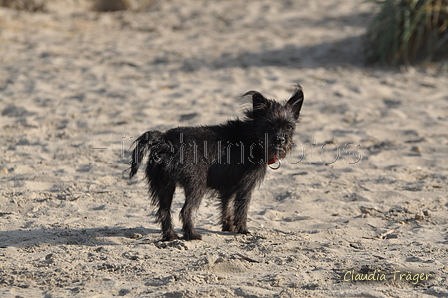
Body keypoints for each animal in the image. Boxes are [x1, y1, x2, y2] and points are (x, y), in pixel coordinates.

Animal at [130, 85, 304, 241]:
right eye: (269, 125)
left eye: (289, 126)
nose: (281, 139)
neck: (252, 136)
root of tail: (166, 141)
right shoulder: (245, 187)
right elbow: (241, 209)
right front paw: (242, 230)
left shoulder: (227, 189)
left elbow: (226, 207)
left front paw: (228, 227)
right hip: (196, 184)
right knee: (186, 211)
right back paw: (192, 235)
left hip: (164, 185)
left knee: (164, 211)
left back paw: (170, 236)